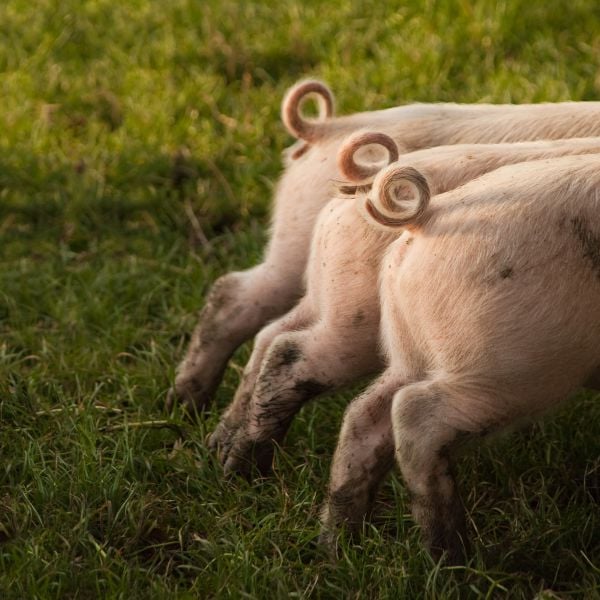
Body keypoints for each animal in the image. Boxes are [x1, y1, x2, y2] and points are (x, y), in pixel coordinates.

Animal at [322, 154, 600, 564]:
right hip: (510, 364)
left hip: (415, 352)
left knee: (365, 414)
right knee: (414, 415)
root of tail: (424, 220)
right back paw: (453, 559)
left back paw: (336, 543)